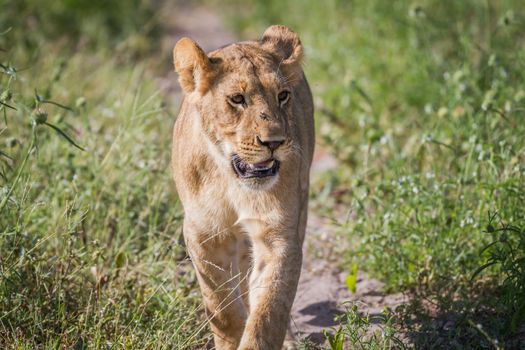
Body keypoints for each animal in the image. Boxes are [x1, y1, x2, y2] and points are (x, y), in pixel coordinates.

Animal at [171, 25, 312, 350]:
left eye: (283, 96)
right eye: (237, 99)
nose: (274, 142)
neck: (232, 182)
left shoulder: (279, 235)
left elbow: (269, 309)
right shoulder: (204, 234)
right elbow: (220, 306)